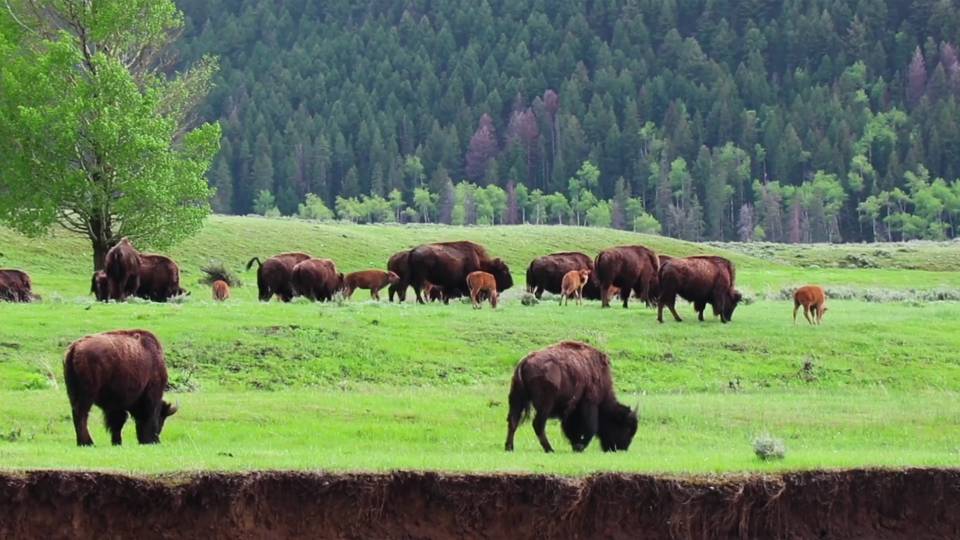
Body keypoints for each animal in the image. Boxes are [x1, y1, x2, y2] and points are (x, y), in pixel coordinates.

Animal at [505, 341, 638, 453]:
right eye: (627, 428)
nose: (622, 448)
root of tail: (524, 362)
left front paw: (576, 445)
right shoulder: (590, 403)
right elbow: (590, 427)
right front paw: (580, 446)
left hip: (516, 399)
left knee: (513, 421)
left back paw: (509, 447)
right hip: (544, 406)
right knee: (538, 424)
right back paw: (549, 449)